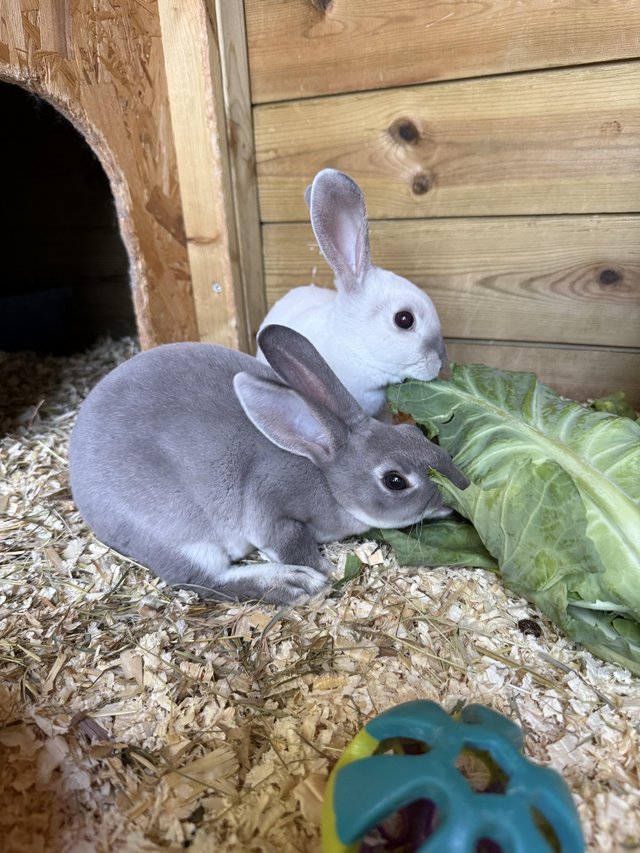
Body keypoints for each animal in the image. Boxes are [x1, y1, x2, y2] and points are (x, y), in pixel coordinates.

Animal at [69, 324, 468, 605]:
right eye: (395, 480)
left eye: (414, 433)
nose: (461, 486)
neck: (326, 476)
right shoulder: (268, 505)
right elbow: (287, 539)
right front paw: (324, 569)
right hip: (179, 529)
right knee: (204, 580)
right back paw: (293, 583)